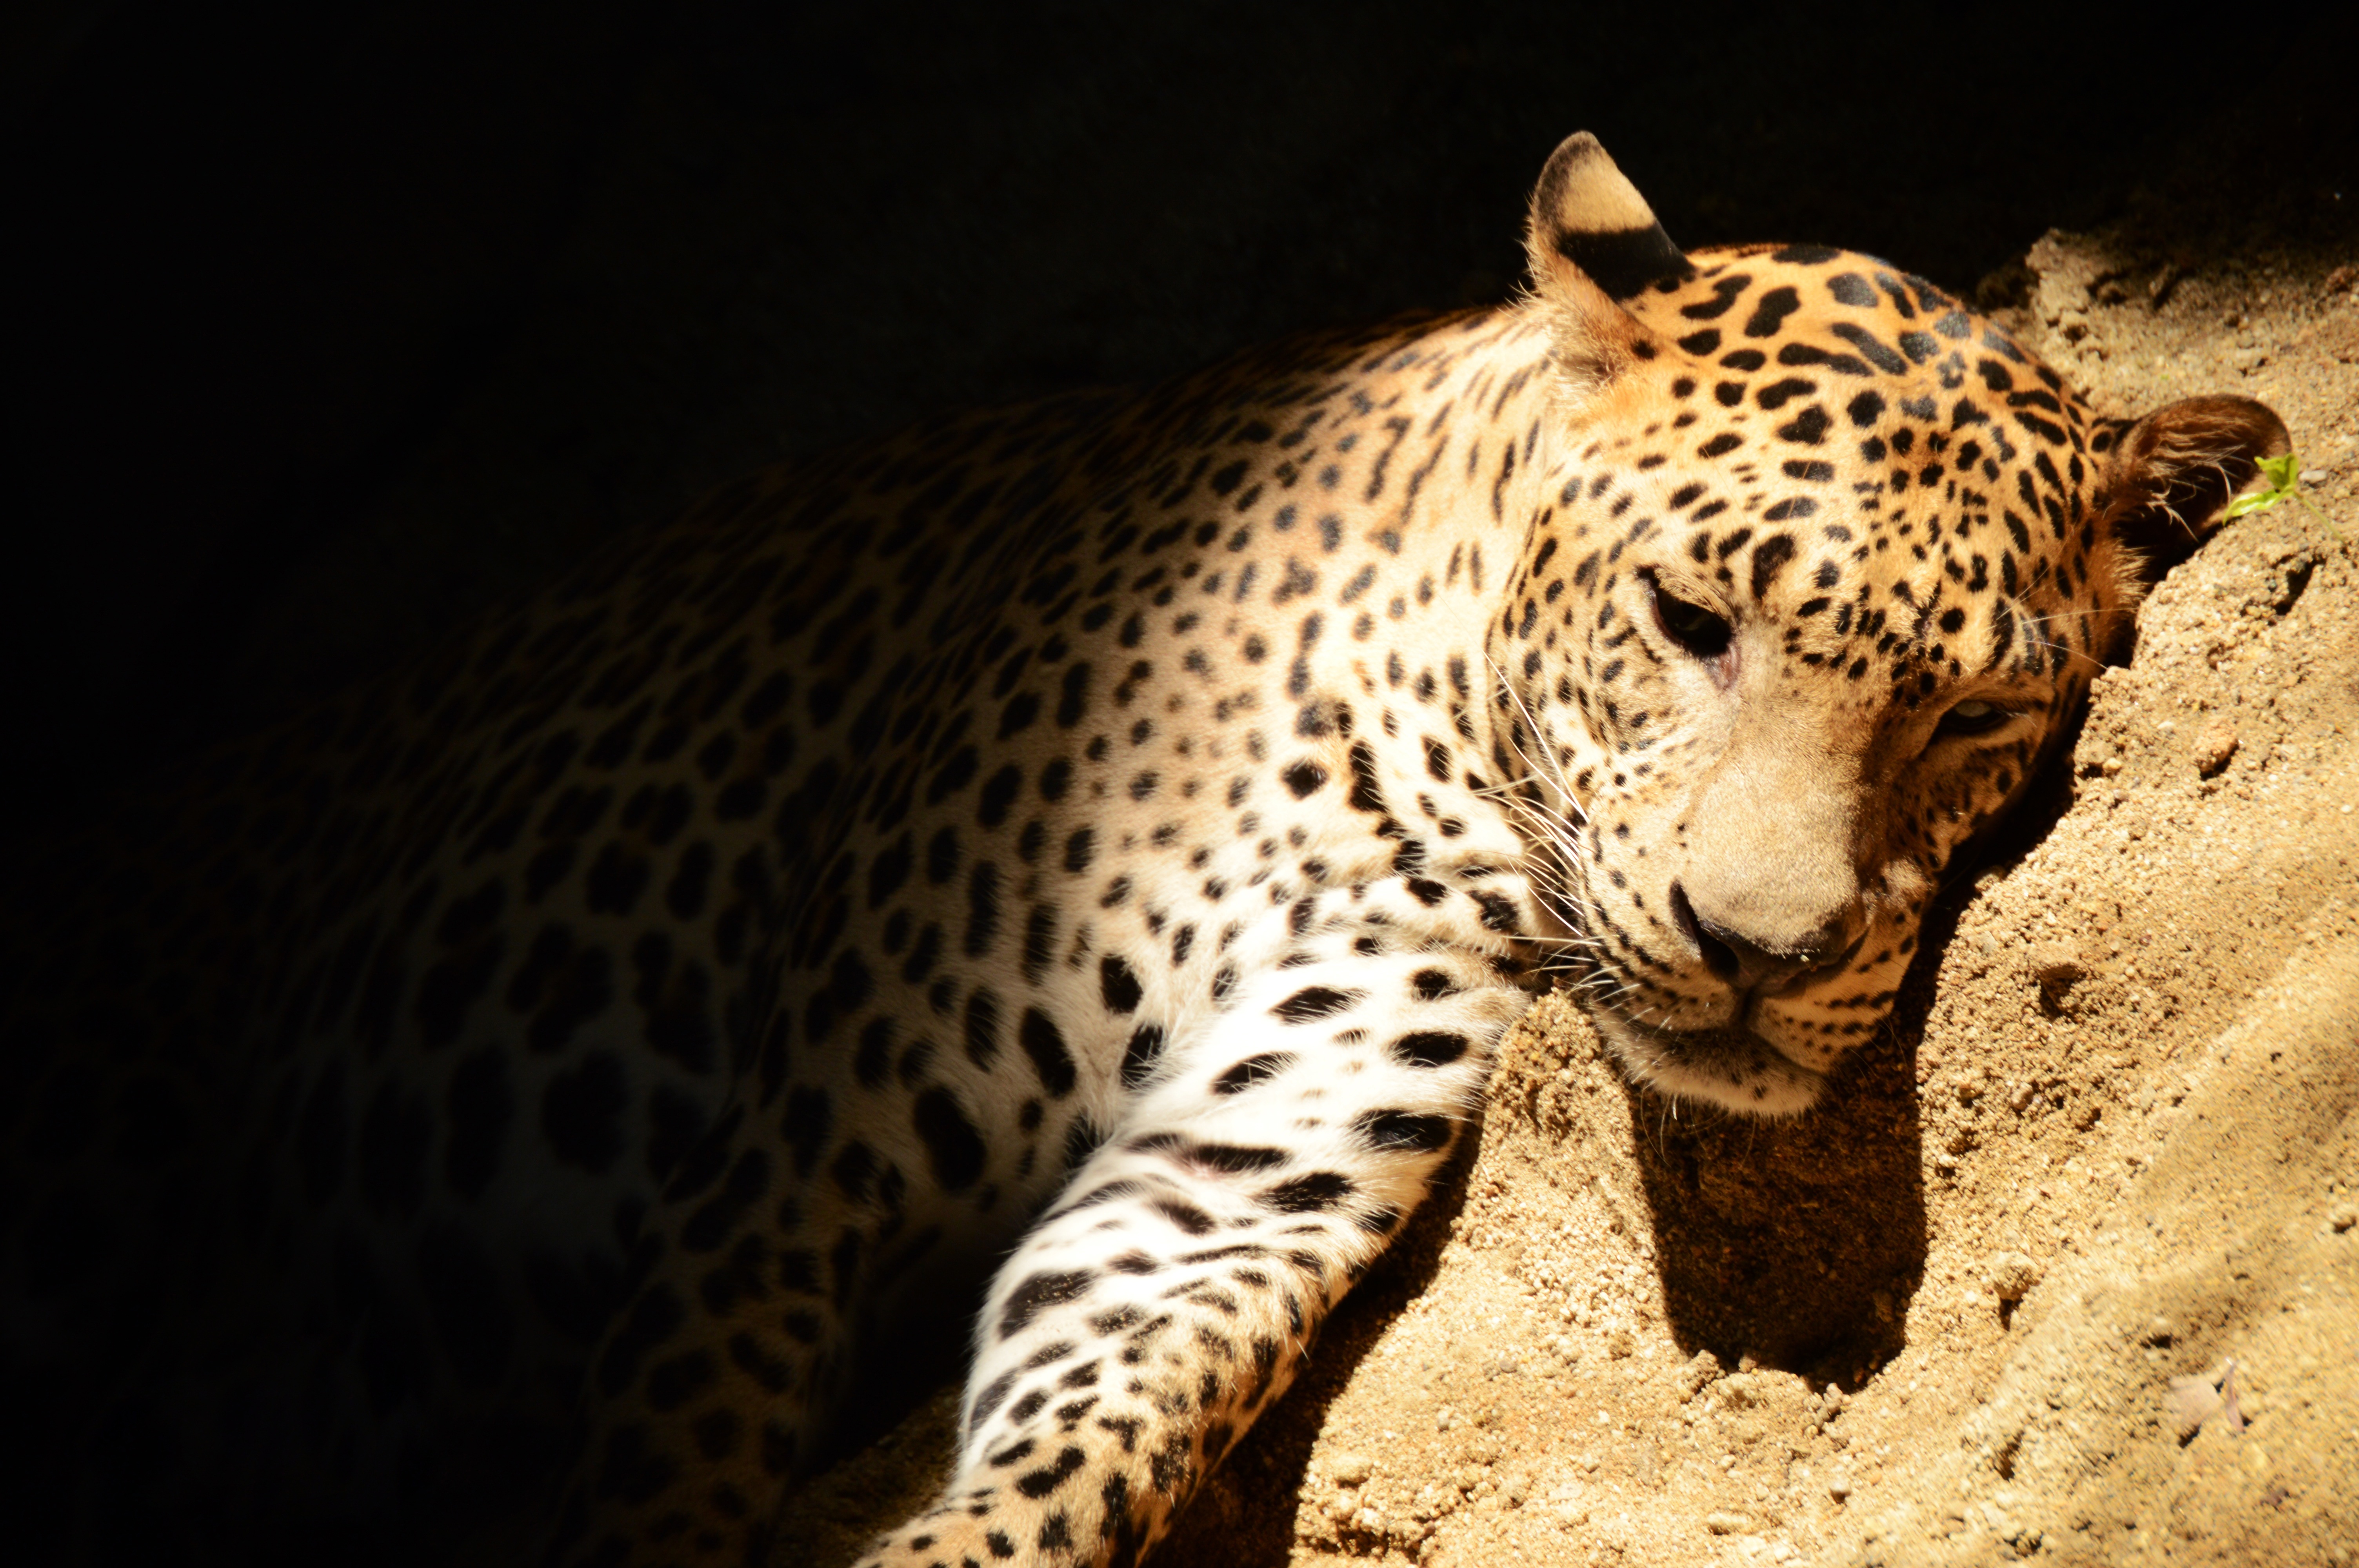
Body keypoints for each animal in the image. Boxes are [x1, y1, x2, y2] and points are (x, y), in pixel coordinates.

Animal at [0, 132, 2287, 1568]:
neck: (1406, 770)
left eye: (1972, 716)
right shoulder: (799, 1163)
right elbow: (677, 1453)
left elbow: (1086, 1441)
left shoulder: (1232, 1179)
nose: (1758, 950)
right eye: (1687, 620)